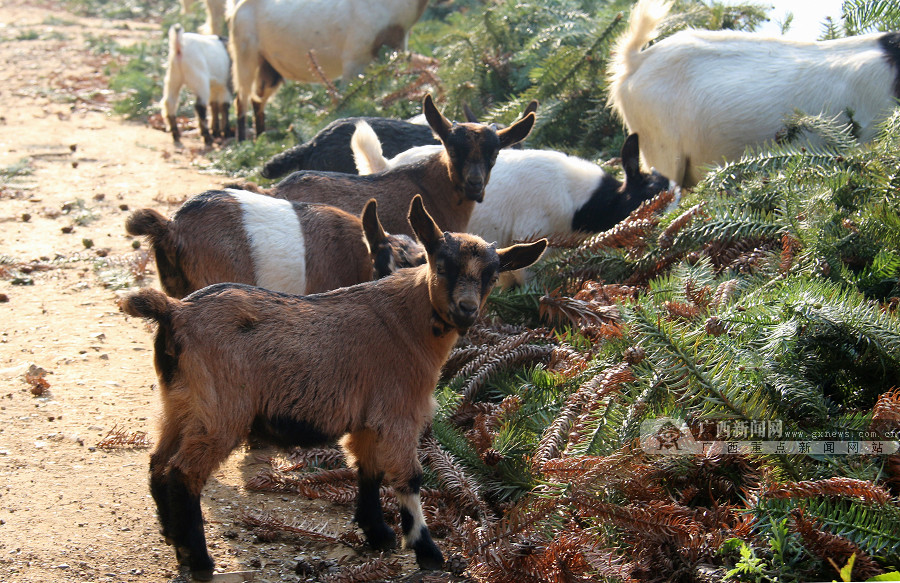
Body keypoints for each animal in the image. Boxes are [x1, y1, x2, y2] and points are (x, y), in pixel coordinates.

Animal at [230, 0, 430, 140]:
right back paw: (243, 143)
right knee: (242, 98)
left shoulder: (390, 55)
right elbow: (347, 101)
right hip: (245, 54)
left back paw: (260, 139)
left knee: (258, 99)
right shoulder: (354, 60)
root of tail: (236, 9)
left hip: (269, 66)